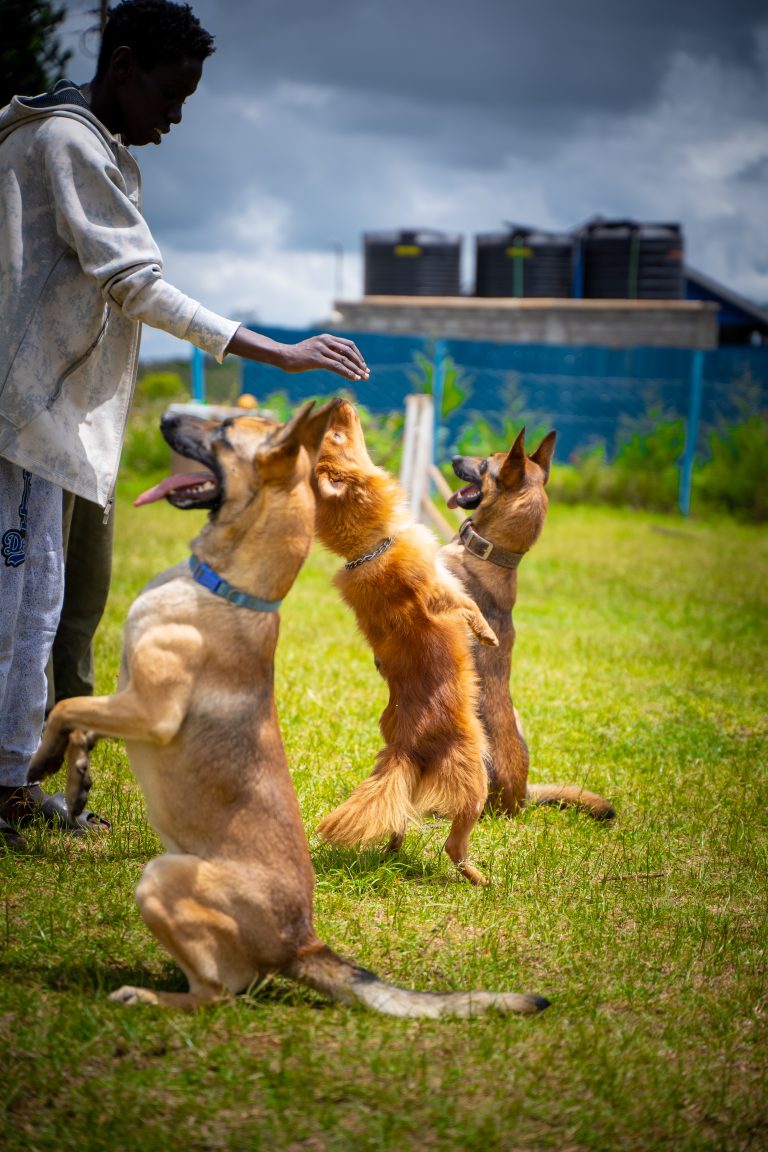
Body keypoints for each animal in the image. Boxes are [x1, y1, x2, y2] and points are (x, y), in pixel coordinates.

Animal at [313, 396, 499, 880]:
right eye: (336, 435)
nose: (340, 399)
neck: (367, 549)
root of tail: (407, 746)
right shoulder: (439, 591)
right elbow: (466, 606)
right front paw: (487, 634)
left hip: (408, 783)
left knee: (396, 814)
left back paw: (392, 853)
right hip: (475, 776)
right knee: (454, 843)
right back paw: (478, 877)